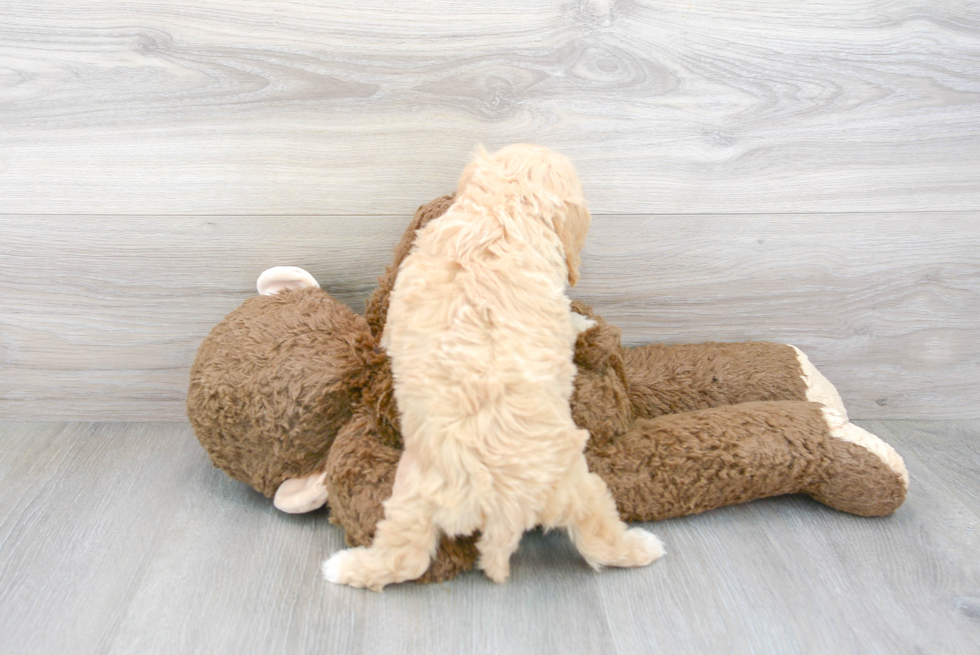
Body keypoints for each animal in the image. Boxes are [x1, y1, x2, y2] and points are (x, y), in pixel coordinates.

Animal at [322, 146, 668, 592]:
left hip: (411, 496)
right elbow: (569, 320)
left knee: (405, 558)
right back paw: (644, 547)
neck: (499, 211)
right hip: (579, 484)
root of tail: (496, 498)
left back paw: (345, 566)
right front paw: (583, 323)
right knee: (599, 539)